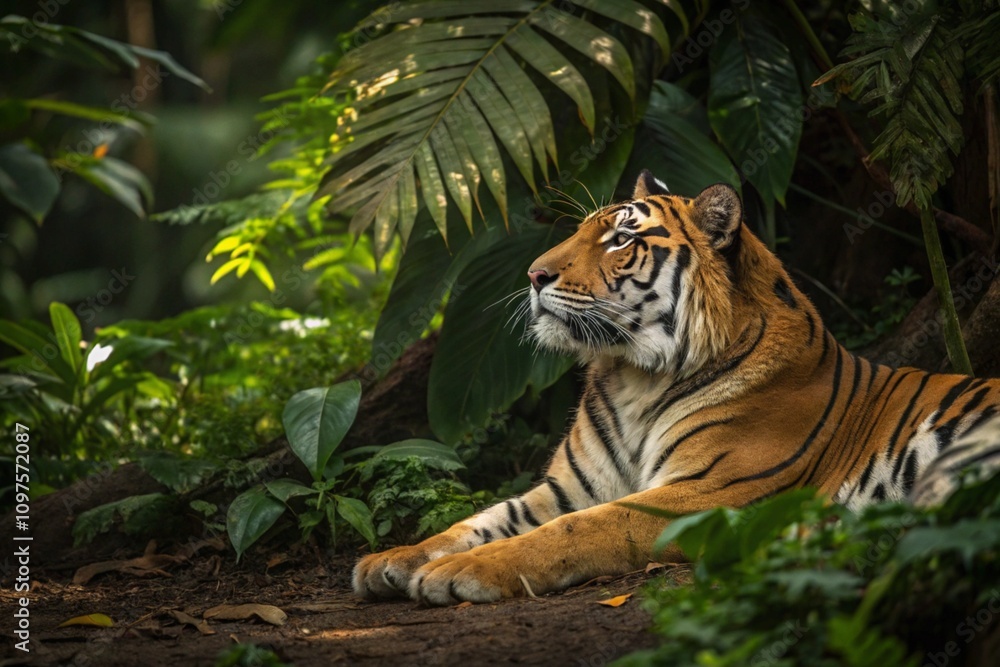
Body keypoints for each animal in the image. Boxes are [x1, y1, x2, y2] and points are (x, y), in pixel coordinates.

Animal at [353, 170, 1000, 605]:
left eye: (619, 240)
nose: (534, 274)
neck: (633, 378)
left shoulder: (707, 493)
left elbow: (576, 530)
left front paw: (459, 574)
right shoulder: (567, 487)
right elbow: (477, 521)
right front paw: (392, 561)